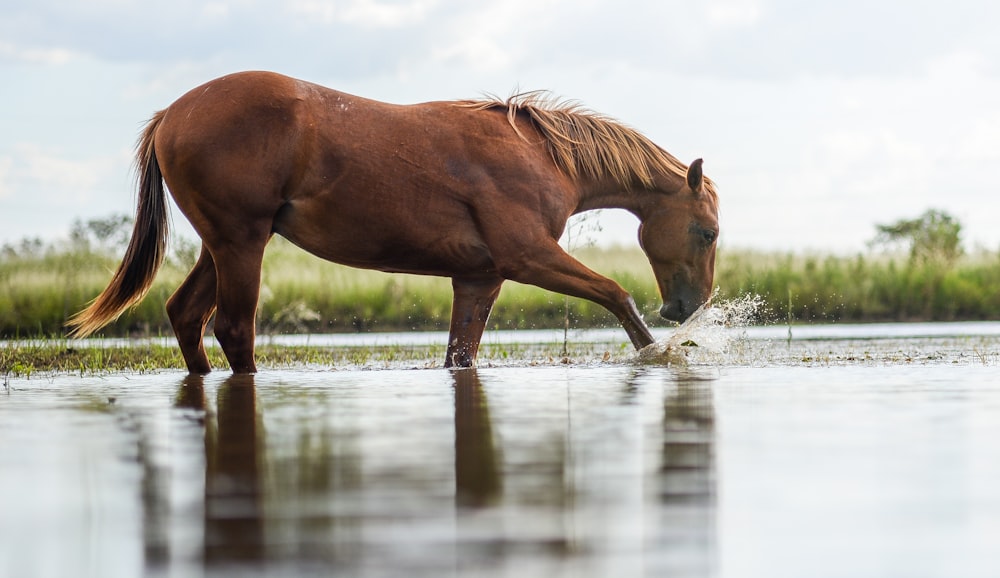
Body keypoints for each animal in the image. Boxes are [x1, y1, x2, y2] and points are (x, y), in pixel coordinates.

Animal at [66, 71, 716, 374]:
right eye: (707, 232)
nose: (688, 307)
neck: (541, 154)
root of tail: (172, 114)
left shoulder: (479, 278)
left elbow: (460, 355)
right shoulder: (529, 257)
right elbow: (616, 294)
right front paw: (661, 353)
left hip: (221, 245)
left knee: (186, 316)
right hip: (240, 243)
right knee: (232, 328)